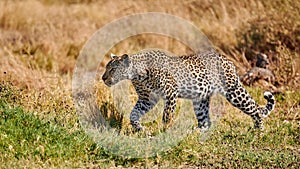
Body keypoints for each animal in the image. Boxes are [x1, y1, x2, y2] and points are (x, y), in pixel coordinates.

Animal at [102, 50, 276, 132]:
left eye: (112, 69)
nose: (103, 78)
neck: (138, 74)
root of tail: (227, 60)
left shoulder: (170, 93)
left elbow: (167, 115)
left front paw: (165, 131)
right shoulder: (146, 99)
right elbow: (133, 114)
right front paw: (139, 129)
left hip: (233, 92)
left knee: (255, 108)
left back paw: (259, 130)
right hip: (201, 99)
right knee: (205, 121)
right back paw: (196, 133)